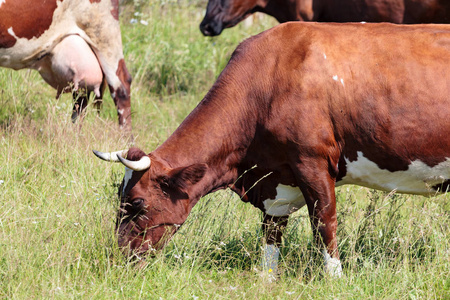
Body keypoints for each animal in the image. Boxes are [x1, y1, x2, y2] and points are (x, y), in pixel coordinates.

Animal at [93, 22, 448, 276]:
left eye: (137, 203)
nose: (118, 257)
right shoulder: (277, 179)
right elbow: (271, 234)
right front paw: (267, 277)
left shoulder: (312, 161)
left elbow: (324, 222)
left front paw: (334, 277)